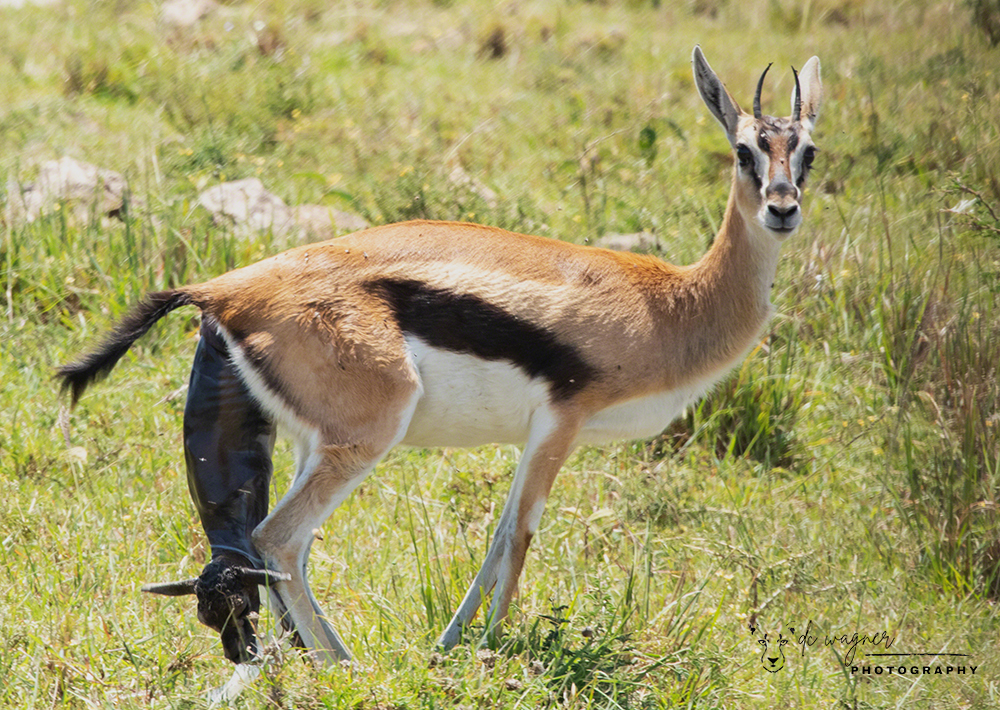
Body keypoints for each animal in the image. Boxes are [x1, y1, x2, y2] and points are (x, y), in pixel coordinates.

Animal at [58, 46, 822, 664]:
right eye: (745, 150)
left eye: (808, 151)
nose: (784, 208)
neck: (668, 304)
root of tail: (224, 288)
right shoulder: (562, 422)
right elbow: (517, 539)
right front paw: (491, 652)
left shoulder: (537, 437)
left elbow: (495, 541)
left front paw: (450, 649)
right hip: (368, 436)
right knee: (278, 539)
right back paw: (342, 663)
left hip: (314, 442)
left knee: (278, 548)